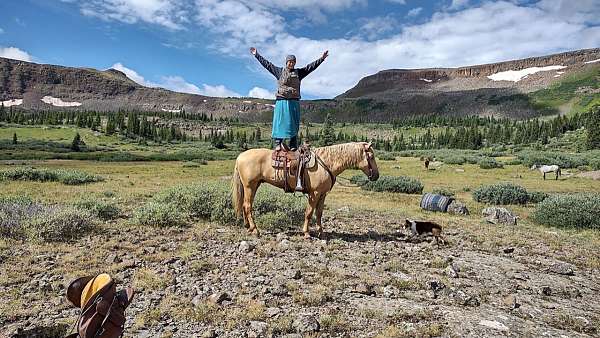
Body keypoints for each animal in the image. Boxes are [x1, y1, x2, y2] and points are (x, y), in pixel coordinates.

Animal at [231, 141, 380, 239]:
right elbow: (309, 212)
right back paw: (255, 230)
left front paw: (321, 233)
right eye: (371, 157)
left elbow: (319, 213)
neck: (326, 163)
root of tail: (240, 156)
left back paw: (248, 227)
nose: (376, 176)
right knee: (248, 206)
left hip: (254, 185)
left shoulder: (323, 194)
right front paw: (307, 233)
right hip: (250, 186)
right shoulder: (314, 193)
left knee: (244, 205)